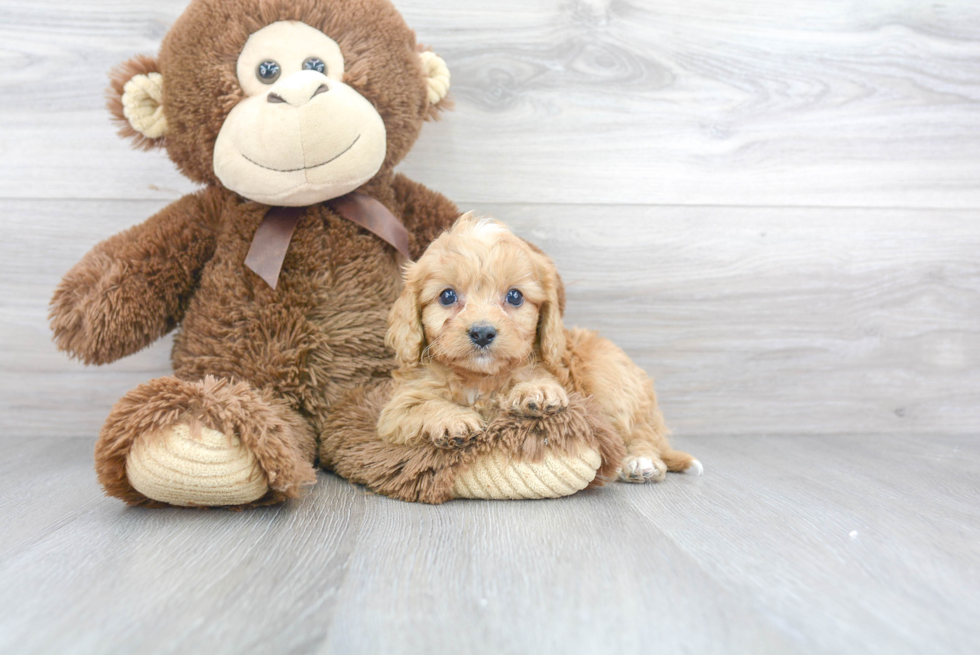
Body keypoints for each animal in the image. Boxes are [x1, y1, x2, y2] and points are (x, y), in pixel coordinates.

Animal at [378, 214, 700, 482]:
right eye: (447, 296)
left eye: (515, 296)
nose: (482, 332)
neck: (481, 380)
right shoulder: (395, 411)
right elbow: (421, 406)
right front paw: (453, 421)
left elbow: (537, 382)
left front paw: (536, 392)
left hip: (610, 382)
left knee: (639, 431)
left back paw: (641, 462)